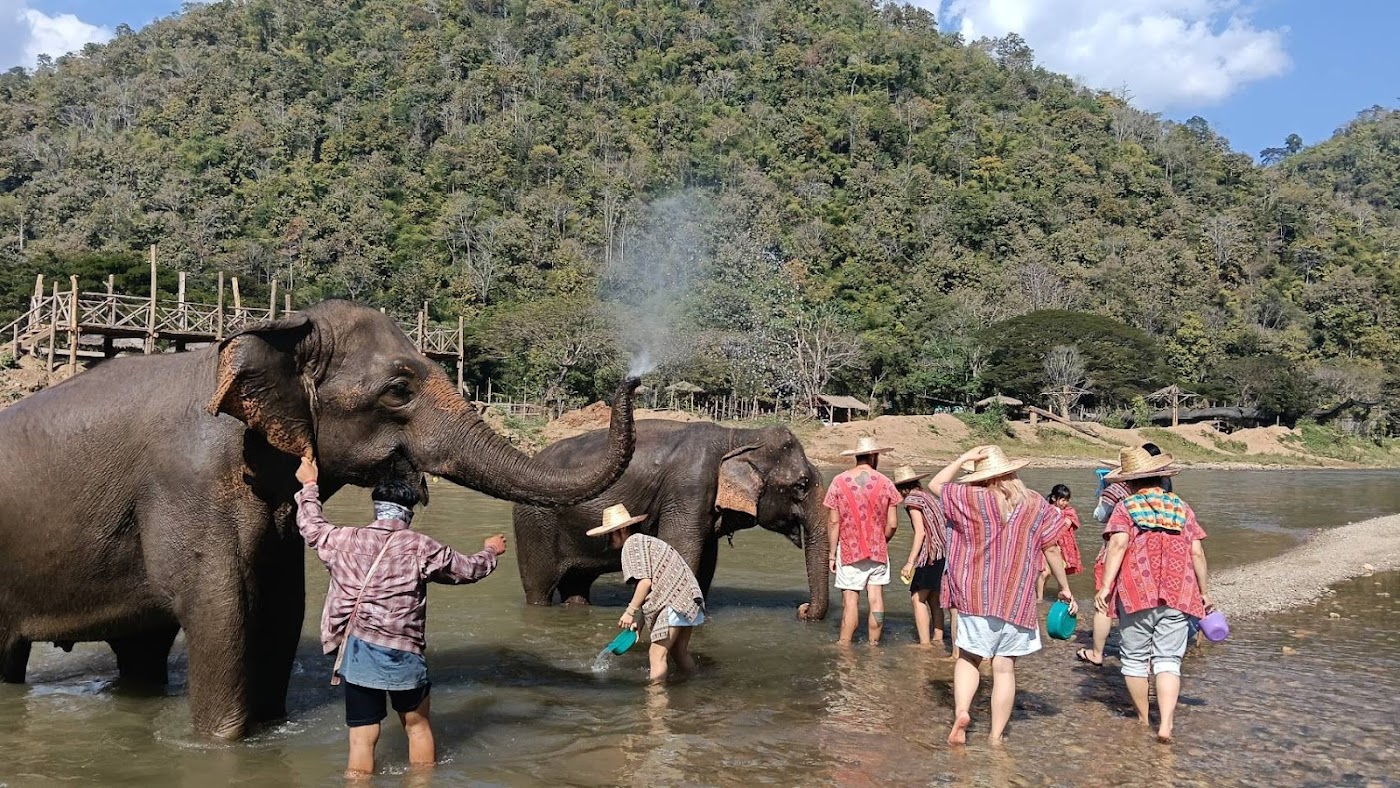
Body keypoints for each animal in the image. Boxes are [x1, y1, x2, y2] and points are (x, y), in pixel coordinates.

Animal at [0, 300, 639, 739]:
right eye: (399, 389)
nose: (631, 378)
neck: (277, 330)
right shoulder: (191, 482)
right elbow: (221, 611)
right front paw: (219, 745)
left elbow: (282, 608)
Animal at [512, 421, 830, 620]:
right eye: (801, 485)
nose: (802, 610)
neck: (738, 436)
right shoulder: (688, 489)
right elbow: (683, 551)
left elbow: (705, 564)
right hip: (534, 525)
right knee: (539, 588)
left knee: (577, 586)